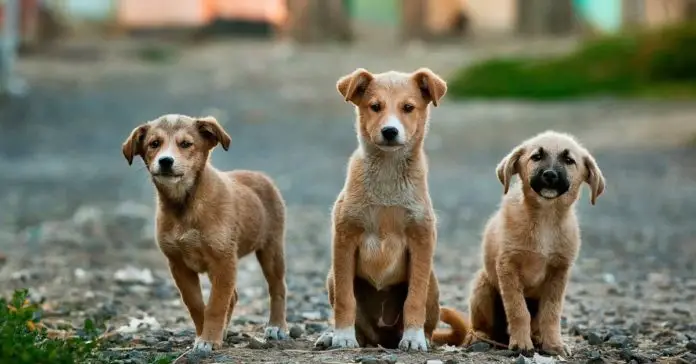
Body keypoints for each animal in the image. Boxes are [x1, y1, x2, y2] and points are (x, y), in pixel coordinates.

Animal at [122, 115, 288, 354]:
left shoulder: (223, 261)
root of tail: (261, 176)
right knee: (234, 297)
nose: (165, 161)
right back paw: (225, 331)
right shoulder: (179, 265)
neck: (184, 205)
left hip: (271, 249)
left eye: (186, 144)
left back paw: (276, 326)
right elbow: (197, 305)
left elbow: (216, 305)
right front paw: (205, 335)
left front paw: (209, 339)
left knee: (277, 288)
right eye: (154, 144)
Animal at [316, 67, 446, 352]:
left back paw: (421, 337)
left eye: (408, 107)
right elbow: (345, 298)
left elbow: (414, 299)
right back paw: (334, 336)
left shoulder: (422, 239)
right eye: (375, 106)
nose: (389, 131)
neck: (387, 172)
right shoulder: (345, 238)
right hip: (331, 277)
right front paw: (342, 336)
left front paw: (414, 338)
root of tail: (381, 338)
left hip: (432, 281)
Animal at [436, 131, 604, 356]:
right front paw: (521, 344)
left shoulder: (559, 272)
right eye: (536, 157)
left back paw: (538, 338)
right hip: (483, 286)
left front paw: (554, 344)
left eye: (569, 160)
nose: (550, 175)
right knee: (480, 326)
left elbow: (551, 313)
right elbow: (518, 310)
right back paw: (480, 337)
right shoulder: (508, 266)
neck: (545, 218)